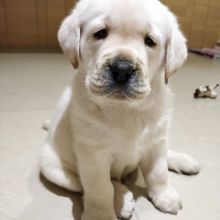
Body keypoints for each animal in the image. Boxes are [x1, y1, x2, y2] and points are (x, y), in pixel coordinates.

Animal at [39, 0, 199, 220]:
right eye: (100, 33)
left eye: (150, 41)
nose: (122, 69)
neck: (125, 109)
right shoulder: (93, 154)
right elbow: (100, 188)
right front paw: (101, 214)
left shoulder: (156, 142)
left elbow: (158, 173)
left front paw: (165, 196)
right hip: (52, 169)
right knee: (86, 185)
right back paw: (121, 199)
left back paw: (183, 160)